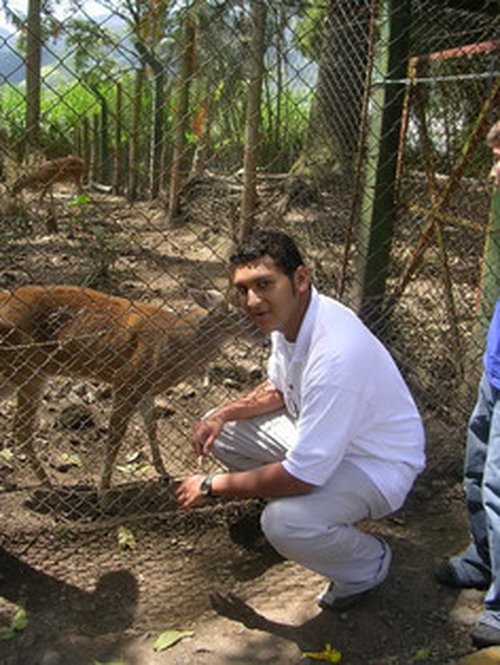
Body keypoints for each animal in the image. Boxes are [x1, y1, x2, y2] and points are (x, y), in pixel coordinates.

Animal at [0, 286, 258, 498]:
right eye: (236, 311)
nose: (259, 332)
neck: (175, 344)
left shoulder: (145, 389)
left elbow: (151, 426)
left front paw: (163, 472)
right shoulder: (127, 380)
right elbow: (116, 435)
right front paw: (103, 491)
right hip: (29, 369)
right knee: (21, 429)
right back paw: (49, 485)